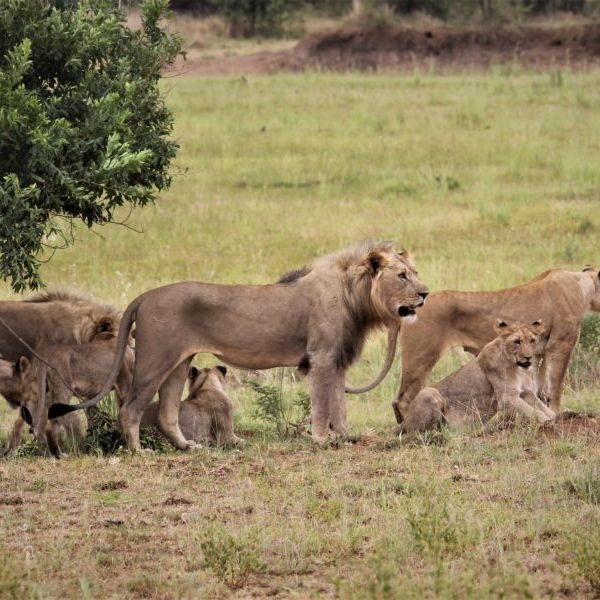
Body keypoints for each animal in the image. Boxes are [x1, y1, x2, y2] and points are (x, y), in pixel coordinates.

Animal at [50, 240, 426, 450]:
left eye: (415, 272)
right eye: (402, 276)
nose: (425, 293)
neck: (356, 296)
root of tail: (144, 296)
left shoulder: (337, 360)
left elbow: (339, 404)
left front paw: (344, 437)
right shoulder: (321, 357)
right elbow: (323, 404)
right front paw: (322, 439)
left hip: (178, 365)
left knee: (168, 413)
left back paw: (188, 447)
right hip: (154, 361)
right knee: (130, 408)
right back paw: (137, 451)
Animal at [398, 318, 552, 432]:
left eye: (532, 340)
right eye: (517, 341)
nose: (528, 357)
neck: (518, 367)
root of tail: (404, 421)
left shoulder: (527, 392)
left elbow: (543, 407)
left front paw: (554, 417)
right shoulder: (507, 397)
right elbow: (533, 412)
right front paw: (547, 422)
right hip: (428, 392)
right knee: (419, 432)